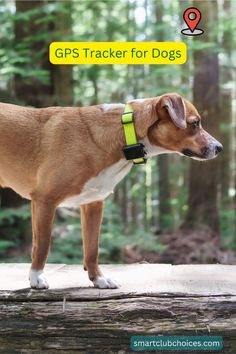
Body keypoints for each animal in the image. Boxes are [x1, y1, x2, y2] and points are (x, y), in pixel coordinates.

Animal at [0, 92, 221, 290]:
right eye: (195, 123)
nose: (220, 147)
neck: (123, 133)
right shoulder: (45, 200)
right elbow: (42, 244)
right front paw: (36, 277)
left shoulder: (93, 204)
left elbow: (92, 249)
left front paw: (98, 279)